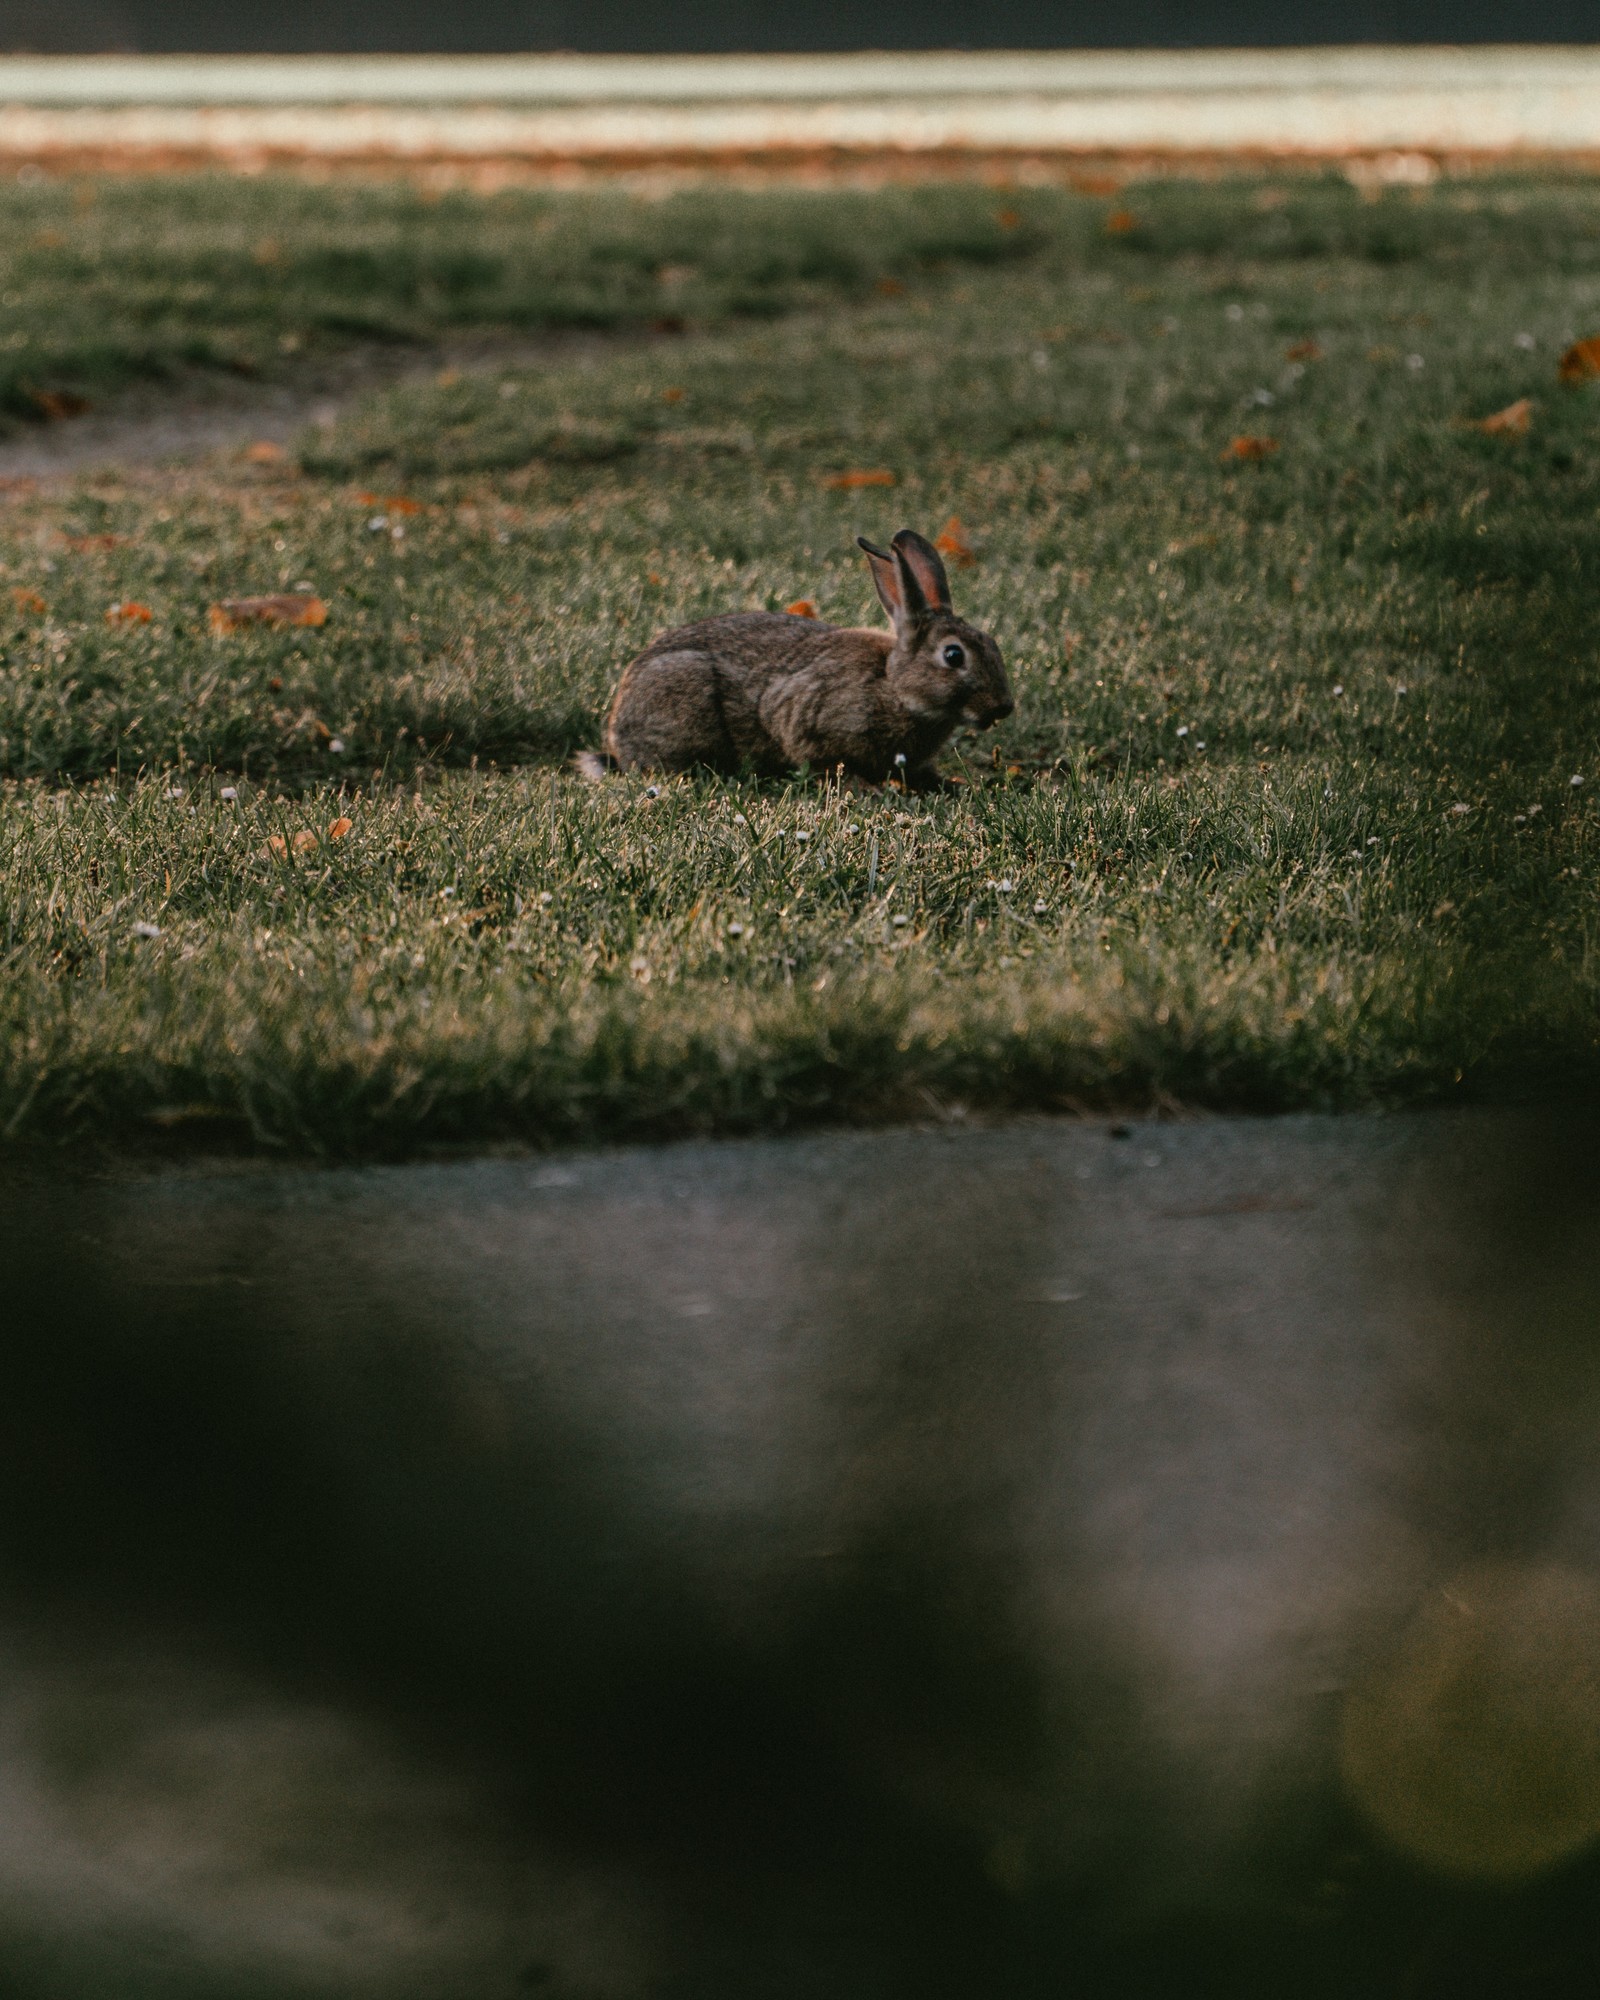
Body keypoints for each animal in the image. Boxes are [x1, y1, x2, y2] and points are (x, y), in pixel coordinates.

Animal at [580, 528, 1012, 784]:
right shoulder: (804, 718)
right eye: (953, 656)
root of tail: (618, 731)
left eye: (992, 644)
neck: (894, 687)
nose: (1004, 707)